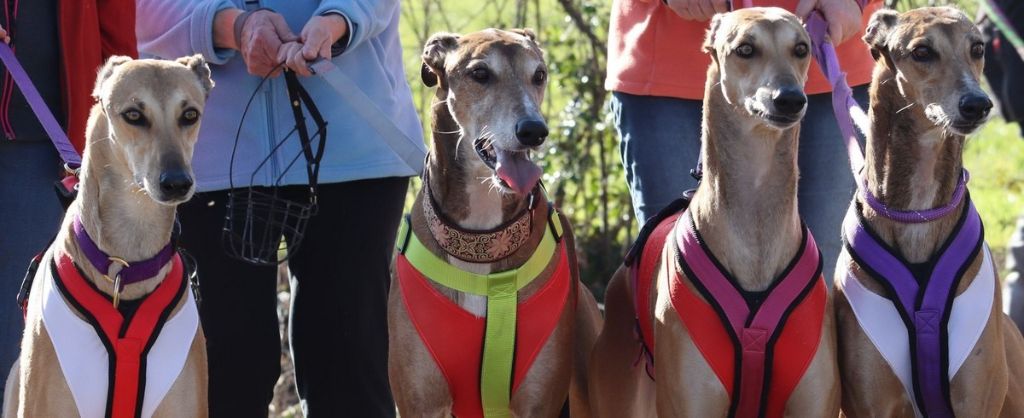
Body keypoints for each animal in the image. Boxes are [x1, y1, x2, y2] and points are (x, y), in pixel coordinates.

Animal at [387, 27, 602, 415]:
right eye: (480, 74)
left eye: (539, 74)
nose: (534, 130)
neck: (480, 242)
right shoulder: (420, 402)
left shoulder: (539, 401)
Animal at [835, 7, 1024, 418]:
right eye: (922, 52)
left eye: (978, 48)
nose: (978, 104)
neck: (918, 216)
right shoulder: (871, 402)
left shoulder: (974, 399)